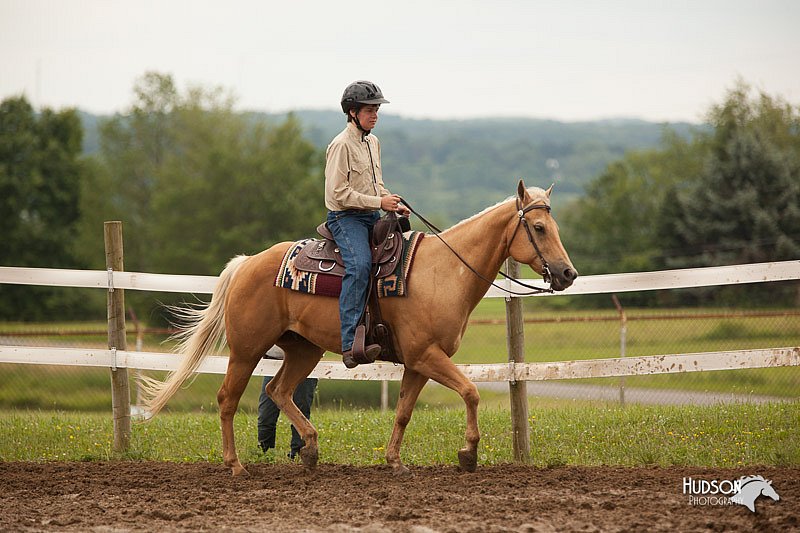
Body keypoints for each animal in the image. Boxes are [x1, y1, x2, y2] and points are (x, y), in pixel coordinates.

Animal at [142, 181, 576, 476]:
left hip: (303, 348)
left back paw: (311, 450)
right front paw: (468, 455)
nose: (567, 274)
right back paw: (235, 465)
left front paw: (395, 460)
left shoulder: (417, 363)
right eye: (538, 227)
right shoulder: (426, 355)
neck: (443, 271)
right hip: (247, 351)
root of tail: (247, 262)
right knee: (227, 399)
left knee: (278, 390)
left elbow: (403, 412)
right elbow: (470, 392)